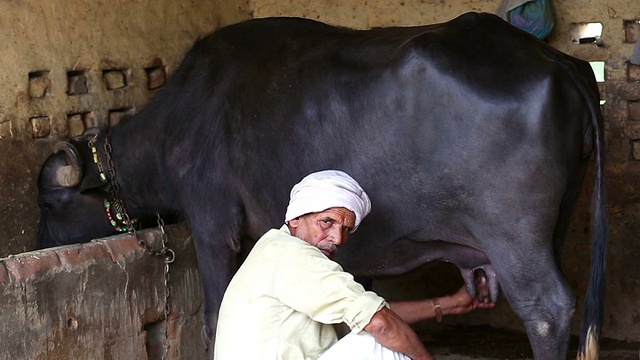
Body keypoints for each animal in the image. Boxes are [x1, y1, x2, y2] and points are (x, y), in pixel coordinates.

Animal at [37, 11, 608, 360]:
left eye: (49, 202)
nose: (38, 239)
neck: (183, 115)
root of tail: (557, 63)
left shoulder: (212, 222)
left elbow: (215, 313)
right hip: (553, 228)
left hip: (516, 238)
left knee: (547, 309)